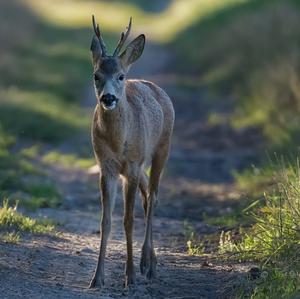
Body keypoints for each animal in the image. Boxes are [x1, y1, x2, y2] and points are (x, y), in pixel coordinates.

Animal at [88, 15, 175, 290]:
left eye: (121, 76)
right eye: (96, 75)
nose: (108, 99)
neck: (118, 142)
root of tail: (154, 87)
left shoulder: (133, 165)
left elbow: (128, 219)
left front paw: (130, 276)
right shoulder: (106, 166)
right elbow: (106, 221)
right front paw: (97, 278)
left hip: (162, 148)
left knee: (154, 196)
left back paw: (147, 265)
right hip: (138, 165)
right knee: (148, 196)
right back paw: (151, 261)